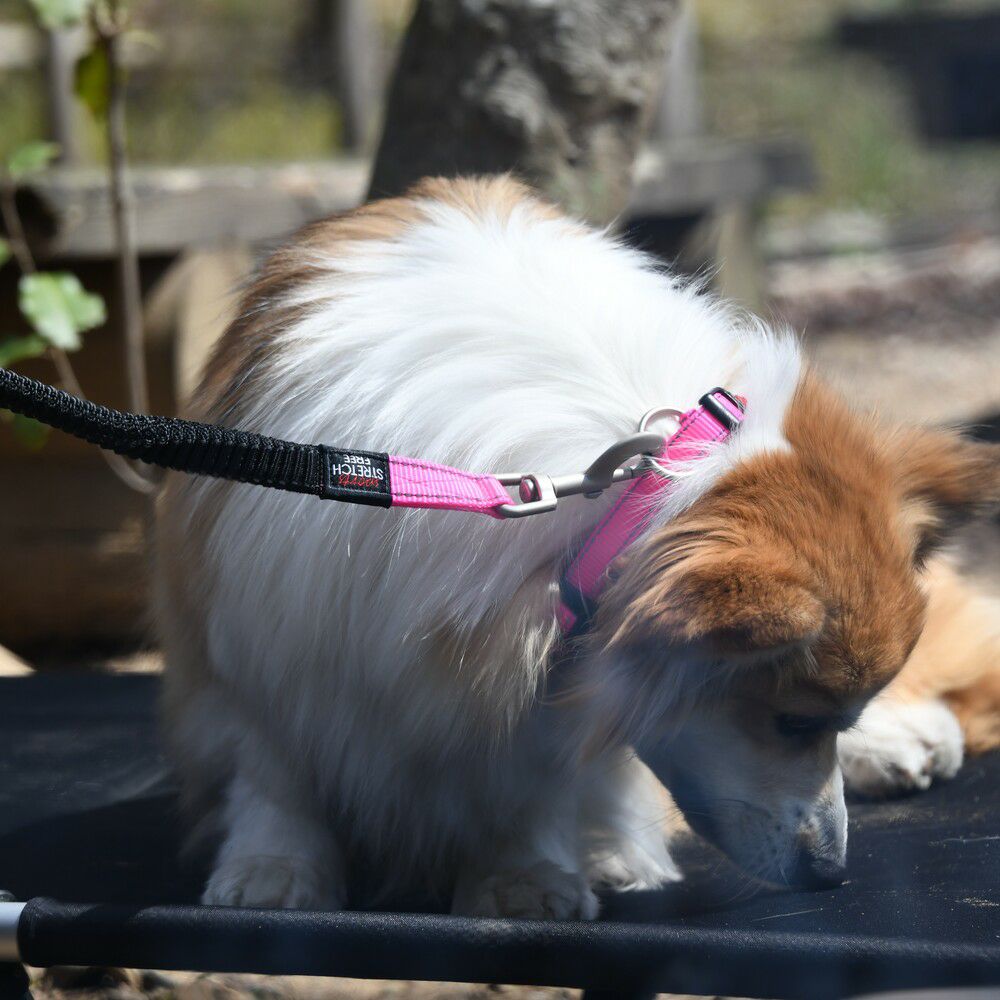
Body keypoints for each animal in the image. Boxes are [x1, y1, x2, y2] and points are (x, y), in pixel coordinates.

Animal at [155, 176, 1000, 918]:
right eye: (793, 722)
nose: (830, 872)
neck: (637, 477)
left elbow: (535, 779)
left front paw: (522, 872)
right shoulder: (259, 624)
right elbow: (273, 766)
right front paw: (274, 865)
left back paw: (903, 741)